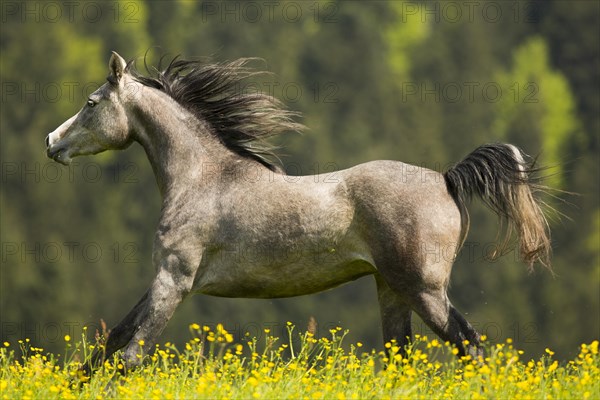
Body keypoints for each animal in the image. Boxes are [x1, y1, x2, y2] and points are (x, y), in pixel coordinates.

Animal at [45, 52, 552, 372]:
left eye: (91, 102)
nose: (52, 142)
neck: (203, 177)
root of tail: (447, 179)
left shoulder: (174, 279)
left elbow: (131, 353)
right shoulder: (165, 279)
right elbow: (113, 339)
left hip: (423, 289)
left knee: (470, 346)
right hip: (391, 287)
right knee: (401, 357)